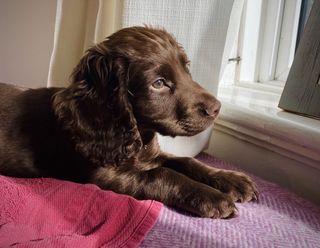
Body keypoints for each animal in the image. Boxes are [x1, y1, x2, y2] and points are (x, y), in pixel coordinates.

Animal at [0, 26, 256, 218]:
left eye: (186, 68)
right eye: (159, 83)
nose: (217, 108)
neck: (138, 134)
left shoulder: (151, 156)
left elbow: (186, 161)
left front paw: (230, 179)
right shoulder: (105, 175)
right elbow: (163, 174)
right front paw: (212, 197)